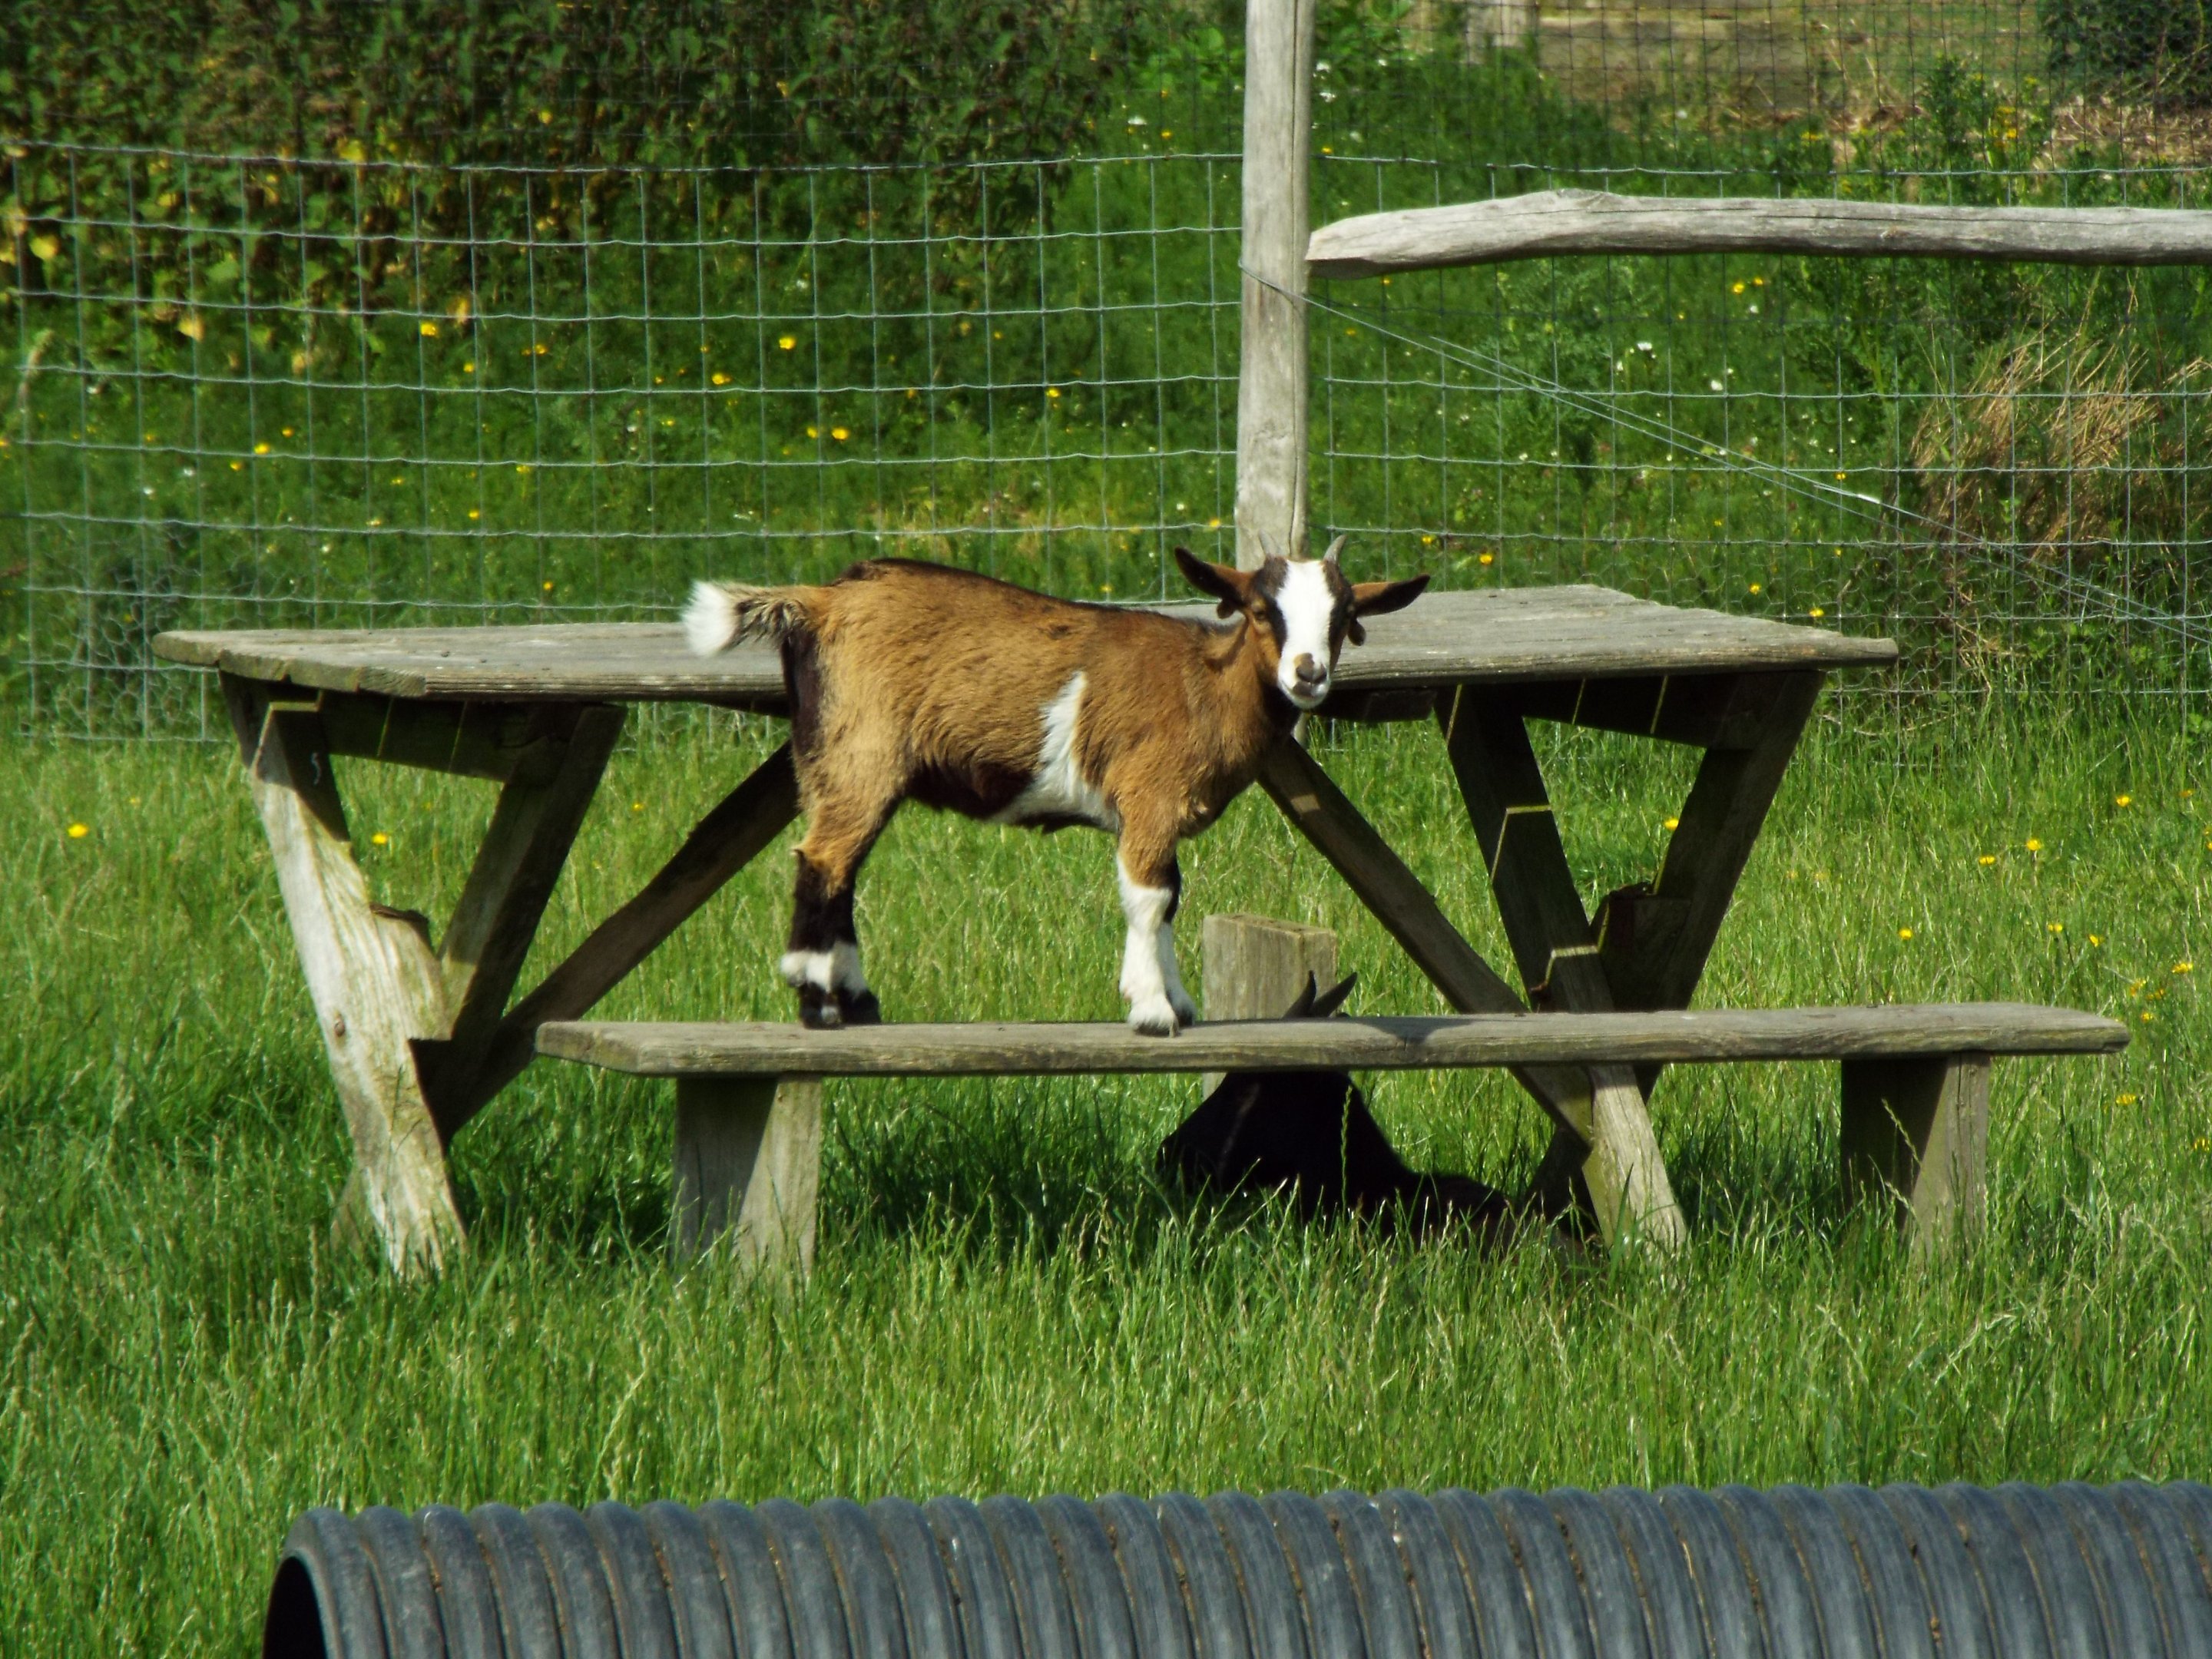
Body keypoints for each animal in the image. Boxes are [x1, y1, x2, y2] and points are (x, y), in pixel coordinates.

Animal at [682, 541, 1428, 1032]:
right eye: (1259, 610)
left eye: (1342, 619)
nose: (1309, 674)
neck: (1202, 688)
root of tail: (821, 600)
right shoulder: (1149, 797)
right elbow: (1149, 898)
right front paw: (1153, 1011)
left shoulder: (1154, 818)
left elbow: (1171, 896)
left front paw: (1178, 1001)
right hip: (860, 750)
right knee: (825, 860)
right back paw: (819, 1003)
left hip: (831, 758)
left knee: (841, 866)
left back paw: (857, 1001)